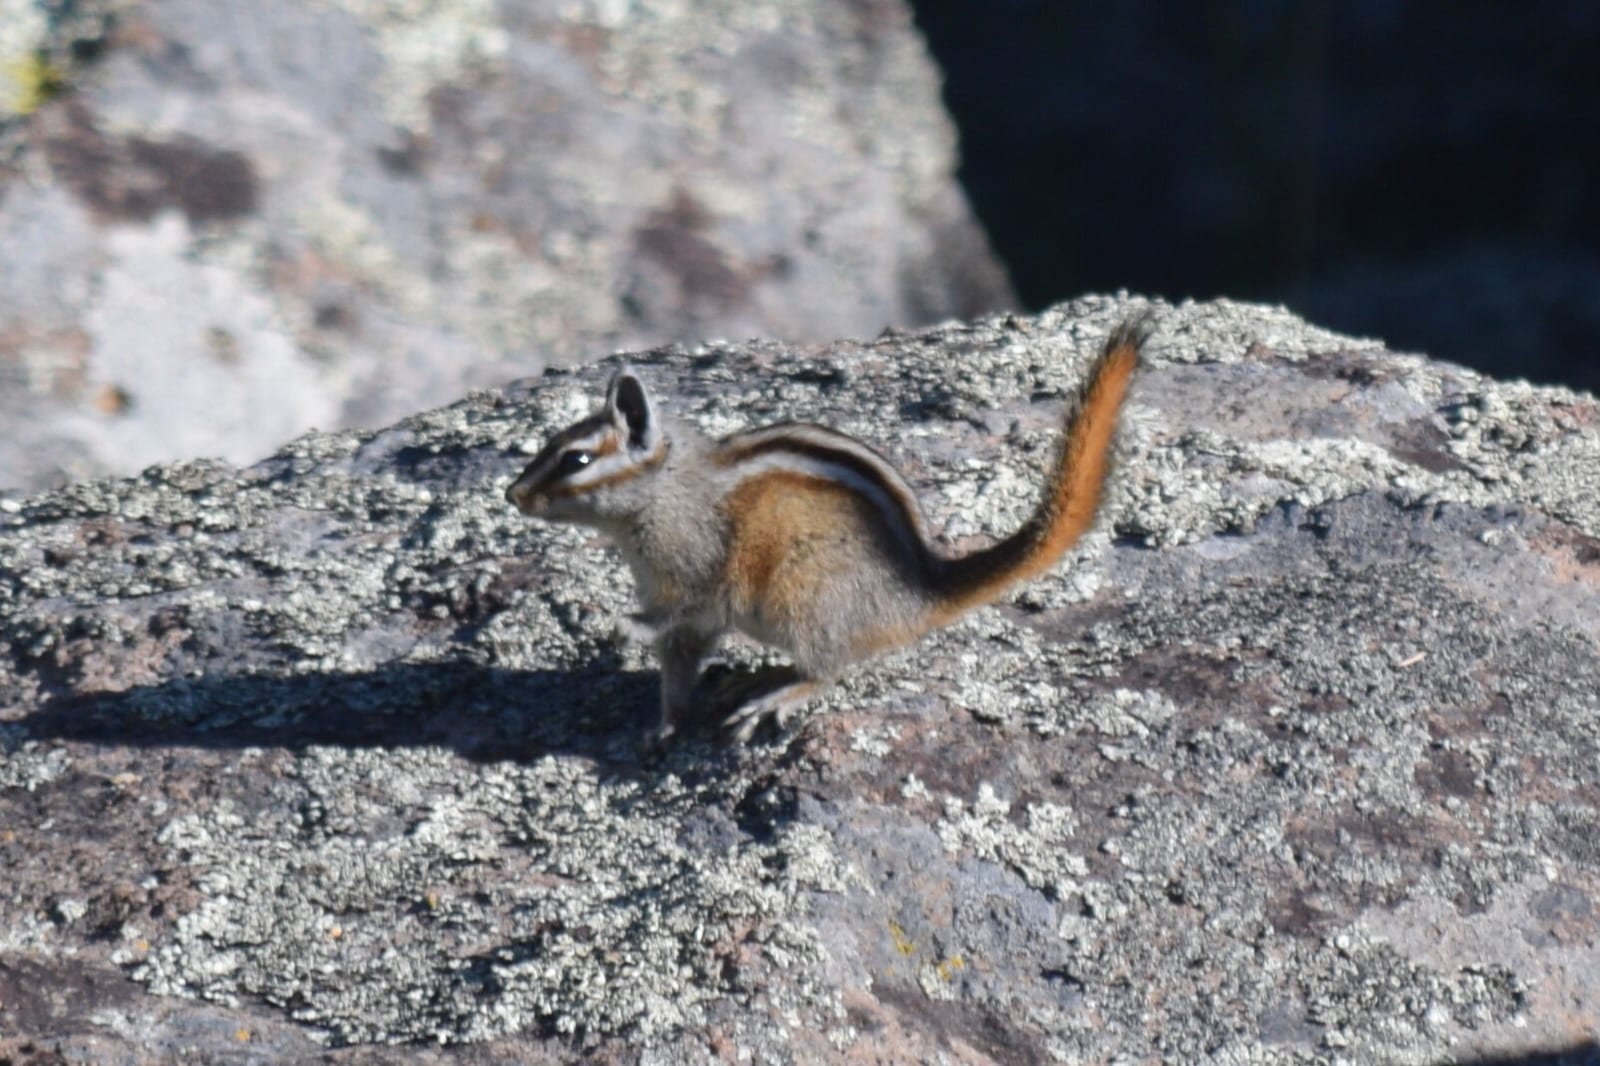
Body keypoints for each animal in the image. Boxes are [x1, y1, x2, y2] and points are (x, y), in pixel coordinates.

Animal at [506, 314, 1150, 743]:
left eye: (575, 460)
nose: (512, 495)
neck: (665, 489)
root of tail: (918, 597)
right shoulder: (686, 615)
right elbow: (680, 661)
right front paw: (664, 726)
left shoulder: (695, 568)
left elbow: (679, 610)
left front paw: (622, 624)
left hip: (804, 594)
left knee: (831, 669)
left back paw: (779, 693)